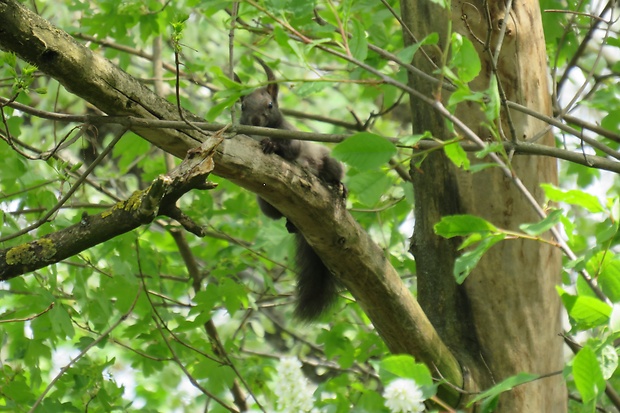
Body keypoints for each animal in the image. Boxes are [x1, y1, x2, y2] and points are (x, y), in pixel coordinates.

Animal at [235, 58, 346, 320]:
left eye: (270, 104)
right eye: (242, 106)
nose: (255, 121)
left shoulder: (292, 138)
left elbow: (290, 149)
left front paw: (270, 144)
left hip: (331, 163)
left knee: (335, 174)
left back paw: (340, 188)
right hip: (267, 206)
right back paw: (290, 224)